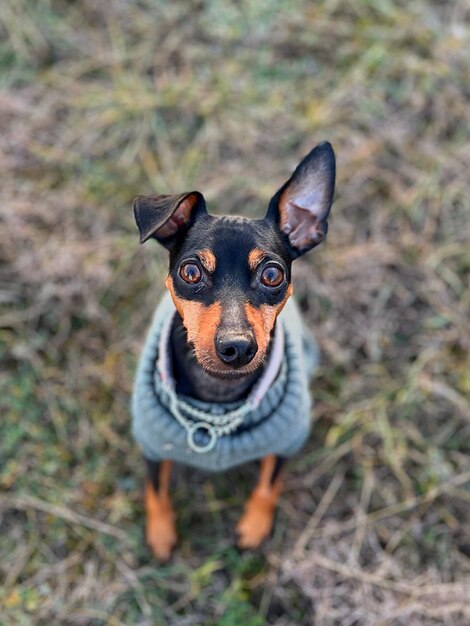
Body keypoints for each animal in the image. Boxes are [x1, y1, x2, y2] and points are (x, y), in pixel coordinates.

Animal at [131, 140, 334, 556]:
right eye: (190, 271)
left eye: (272, 274)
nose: (237, 347)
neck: (218, 395)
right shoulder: (152, 445)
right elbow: (156, 490)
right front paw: (160, 533)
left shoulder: (286, 443)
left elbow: (269, 485)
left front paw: (254, 526)